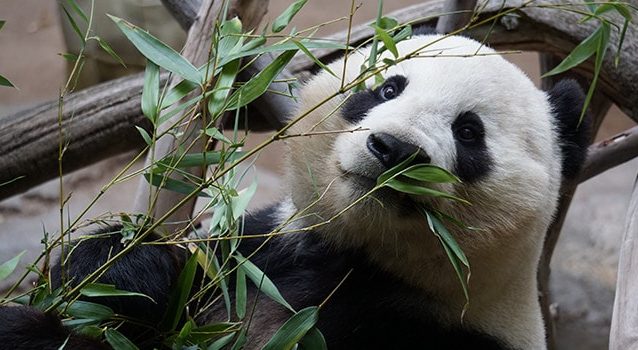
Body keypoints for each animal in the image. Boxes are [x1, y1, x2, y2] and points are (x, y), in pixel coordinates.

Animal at [0, 31, 592, 348]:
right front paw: (124, 270)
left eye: (469, 132)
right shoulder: (260, 256)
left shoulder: (445, 331)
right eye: (388, 86)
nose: (393, 150)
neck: (365, 261)